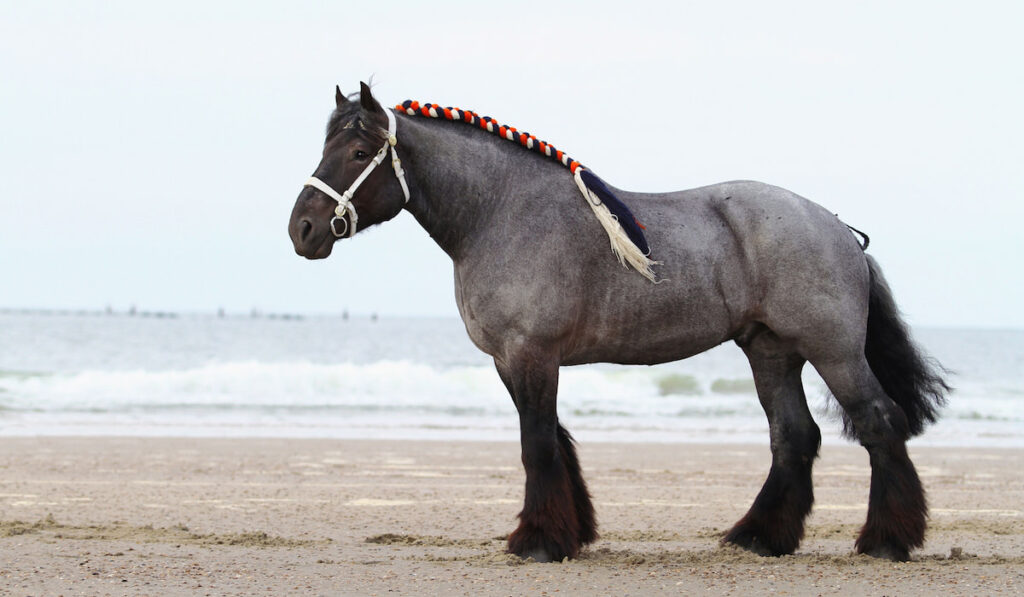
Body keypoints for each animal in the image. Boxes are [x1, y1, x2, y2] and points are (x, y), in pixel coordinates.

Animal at [284, 81, 946, 561]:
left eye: (360, 153)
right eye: (325, 149)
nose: (304, 230)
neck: (501, 212)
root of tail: (836, 226)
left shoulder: (531, 354)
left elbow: (537, 445)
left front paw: (538, 542)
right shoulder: (511, 361)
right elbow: (555, 441)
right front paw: (568, 533)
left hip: (833, 350)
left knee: (879, 422)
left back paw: (887, 541)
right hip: (771, 352)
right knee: (793, 437)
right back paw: (760, 537)